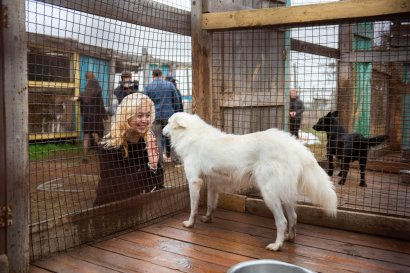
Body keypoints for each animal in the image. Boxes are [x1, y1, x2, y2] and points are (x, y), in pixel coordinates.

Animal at [163, 111, 336, 250]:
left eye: (168, 122)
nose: (162, 131)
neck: (191, 135)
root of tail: (293, 145)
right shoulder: (213, 183)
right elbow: (211, 204)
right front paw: (207, 218)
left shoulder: (194, 181)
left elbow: (193, 208)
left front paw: (190, 224)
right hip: (284, 193)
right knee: (293, 217)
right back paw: (289, 238)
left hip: (269, 194)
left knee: (282, 221)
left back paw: (276, 246)